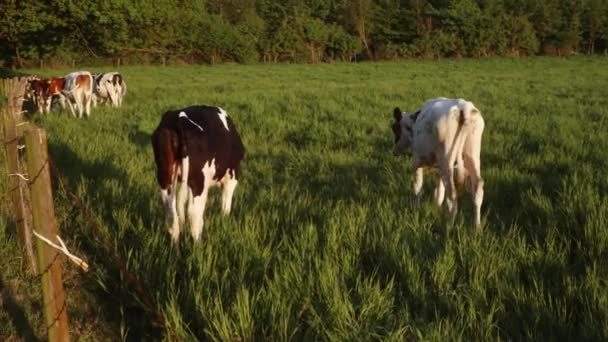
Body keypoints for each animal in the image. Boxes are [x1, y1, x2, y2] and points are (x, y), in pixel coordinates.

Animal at [151, 105, 245, 242]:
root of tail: (177, 118)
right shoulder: (231, 177)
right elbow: (226, 205)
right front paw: (225, 222)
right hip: (199, 181)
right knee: (194, 215)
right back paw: (198, 244)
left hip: (165, 176)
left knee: (172, 216)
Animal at [392, 97, 486, 227]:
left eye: (394, 128)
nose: (394, 151)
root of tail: (463, 106)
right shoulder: (439, 168)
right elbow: (439, 192)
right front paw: (436, 207)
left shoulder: (416, 161)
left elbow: (418, 188)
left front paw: (416, 210)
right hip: (472, 155)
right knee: (477, 190)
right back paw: (477, 227)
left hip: (447, 159)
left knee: (452, 196)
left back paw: (449, 227)